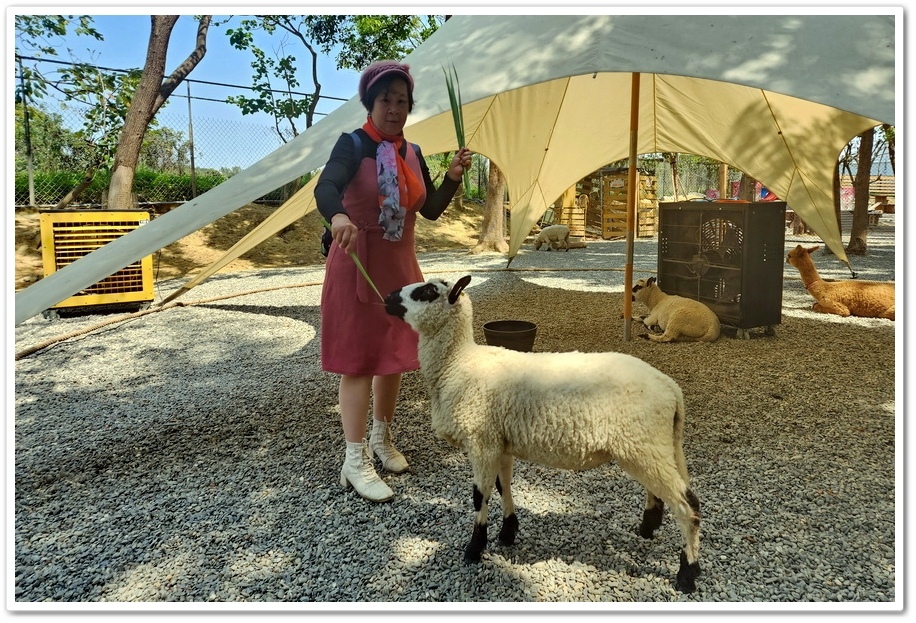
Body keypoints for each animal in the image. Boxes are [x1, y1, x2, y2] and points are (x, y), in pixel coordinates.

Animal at [382, 278, 704, 596]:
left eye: (427, 291)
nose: (386, 298)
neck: (458, 364)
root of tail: (670, 387)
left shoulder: (481, 440)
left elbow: (479, 495)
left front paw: (474, 548)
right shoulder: (500, 442)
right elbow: (503, 486)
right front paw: (508, 531)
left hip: (643, 442)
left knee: (688, 505)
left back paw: (687, 574)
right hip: (655, 443)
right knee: (663, 490)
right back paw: (648, 528)